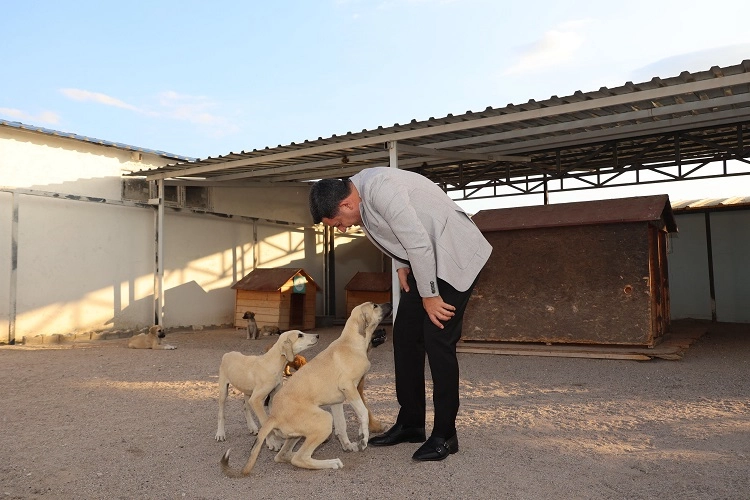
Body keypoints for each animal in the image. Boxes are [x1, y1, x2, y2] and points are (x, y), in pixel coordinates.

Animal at [220, 302, 394, 474]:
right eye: (375, 306)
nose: (391, 304)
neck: (352, 343)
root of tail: (274, 416)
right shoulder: (350, 388)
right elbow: (363, 412)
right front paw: (363, 437)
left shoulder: (337, 402)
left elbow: (342, 426)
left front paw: (348, 445)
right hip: (324, 419)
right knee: (300, 458)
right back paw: (331, 462)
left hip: (297, 434)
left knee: (283, 455)